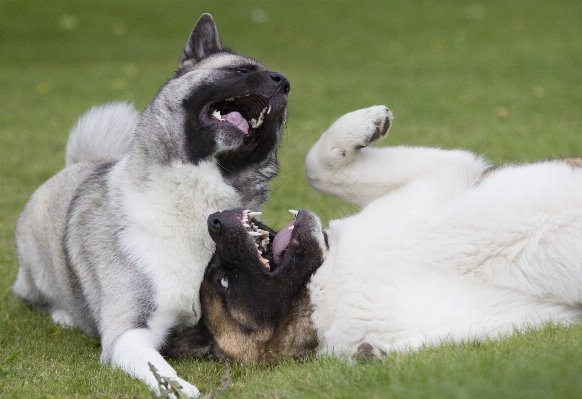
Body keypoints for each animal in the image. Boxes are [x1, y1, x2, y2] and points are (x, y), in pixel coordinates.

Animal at [15, 12, 292, 396]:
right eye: (239, 71)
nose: (285, 83)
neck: (197, 198)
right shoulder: (129, 334)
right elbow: (160, 369)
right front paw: (181, 387)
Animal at [167, 107, 582, 366]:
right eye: (223, 280)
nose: (214, 219)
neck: (324, 278)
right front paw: (375, 355)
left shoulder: (447, 171)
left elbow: (316, 168)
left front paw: (364, 124)